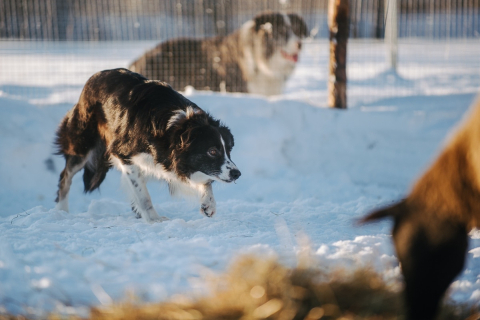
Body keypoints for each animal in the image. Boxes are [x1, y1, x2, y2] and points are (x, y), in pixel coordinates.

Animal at [54, 68, 240, 222]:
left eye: (228, 150)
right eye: (212, 151)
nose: (237, 174)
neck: (174, 128)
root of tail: (94, 77)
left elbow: (206, 181)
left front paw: (209, 204)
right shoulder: (124, 154)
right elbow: (143, 194)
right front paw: (153, 218)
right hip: (82, 145)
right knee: (65, 176)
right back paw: (62, 211)